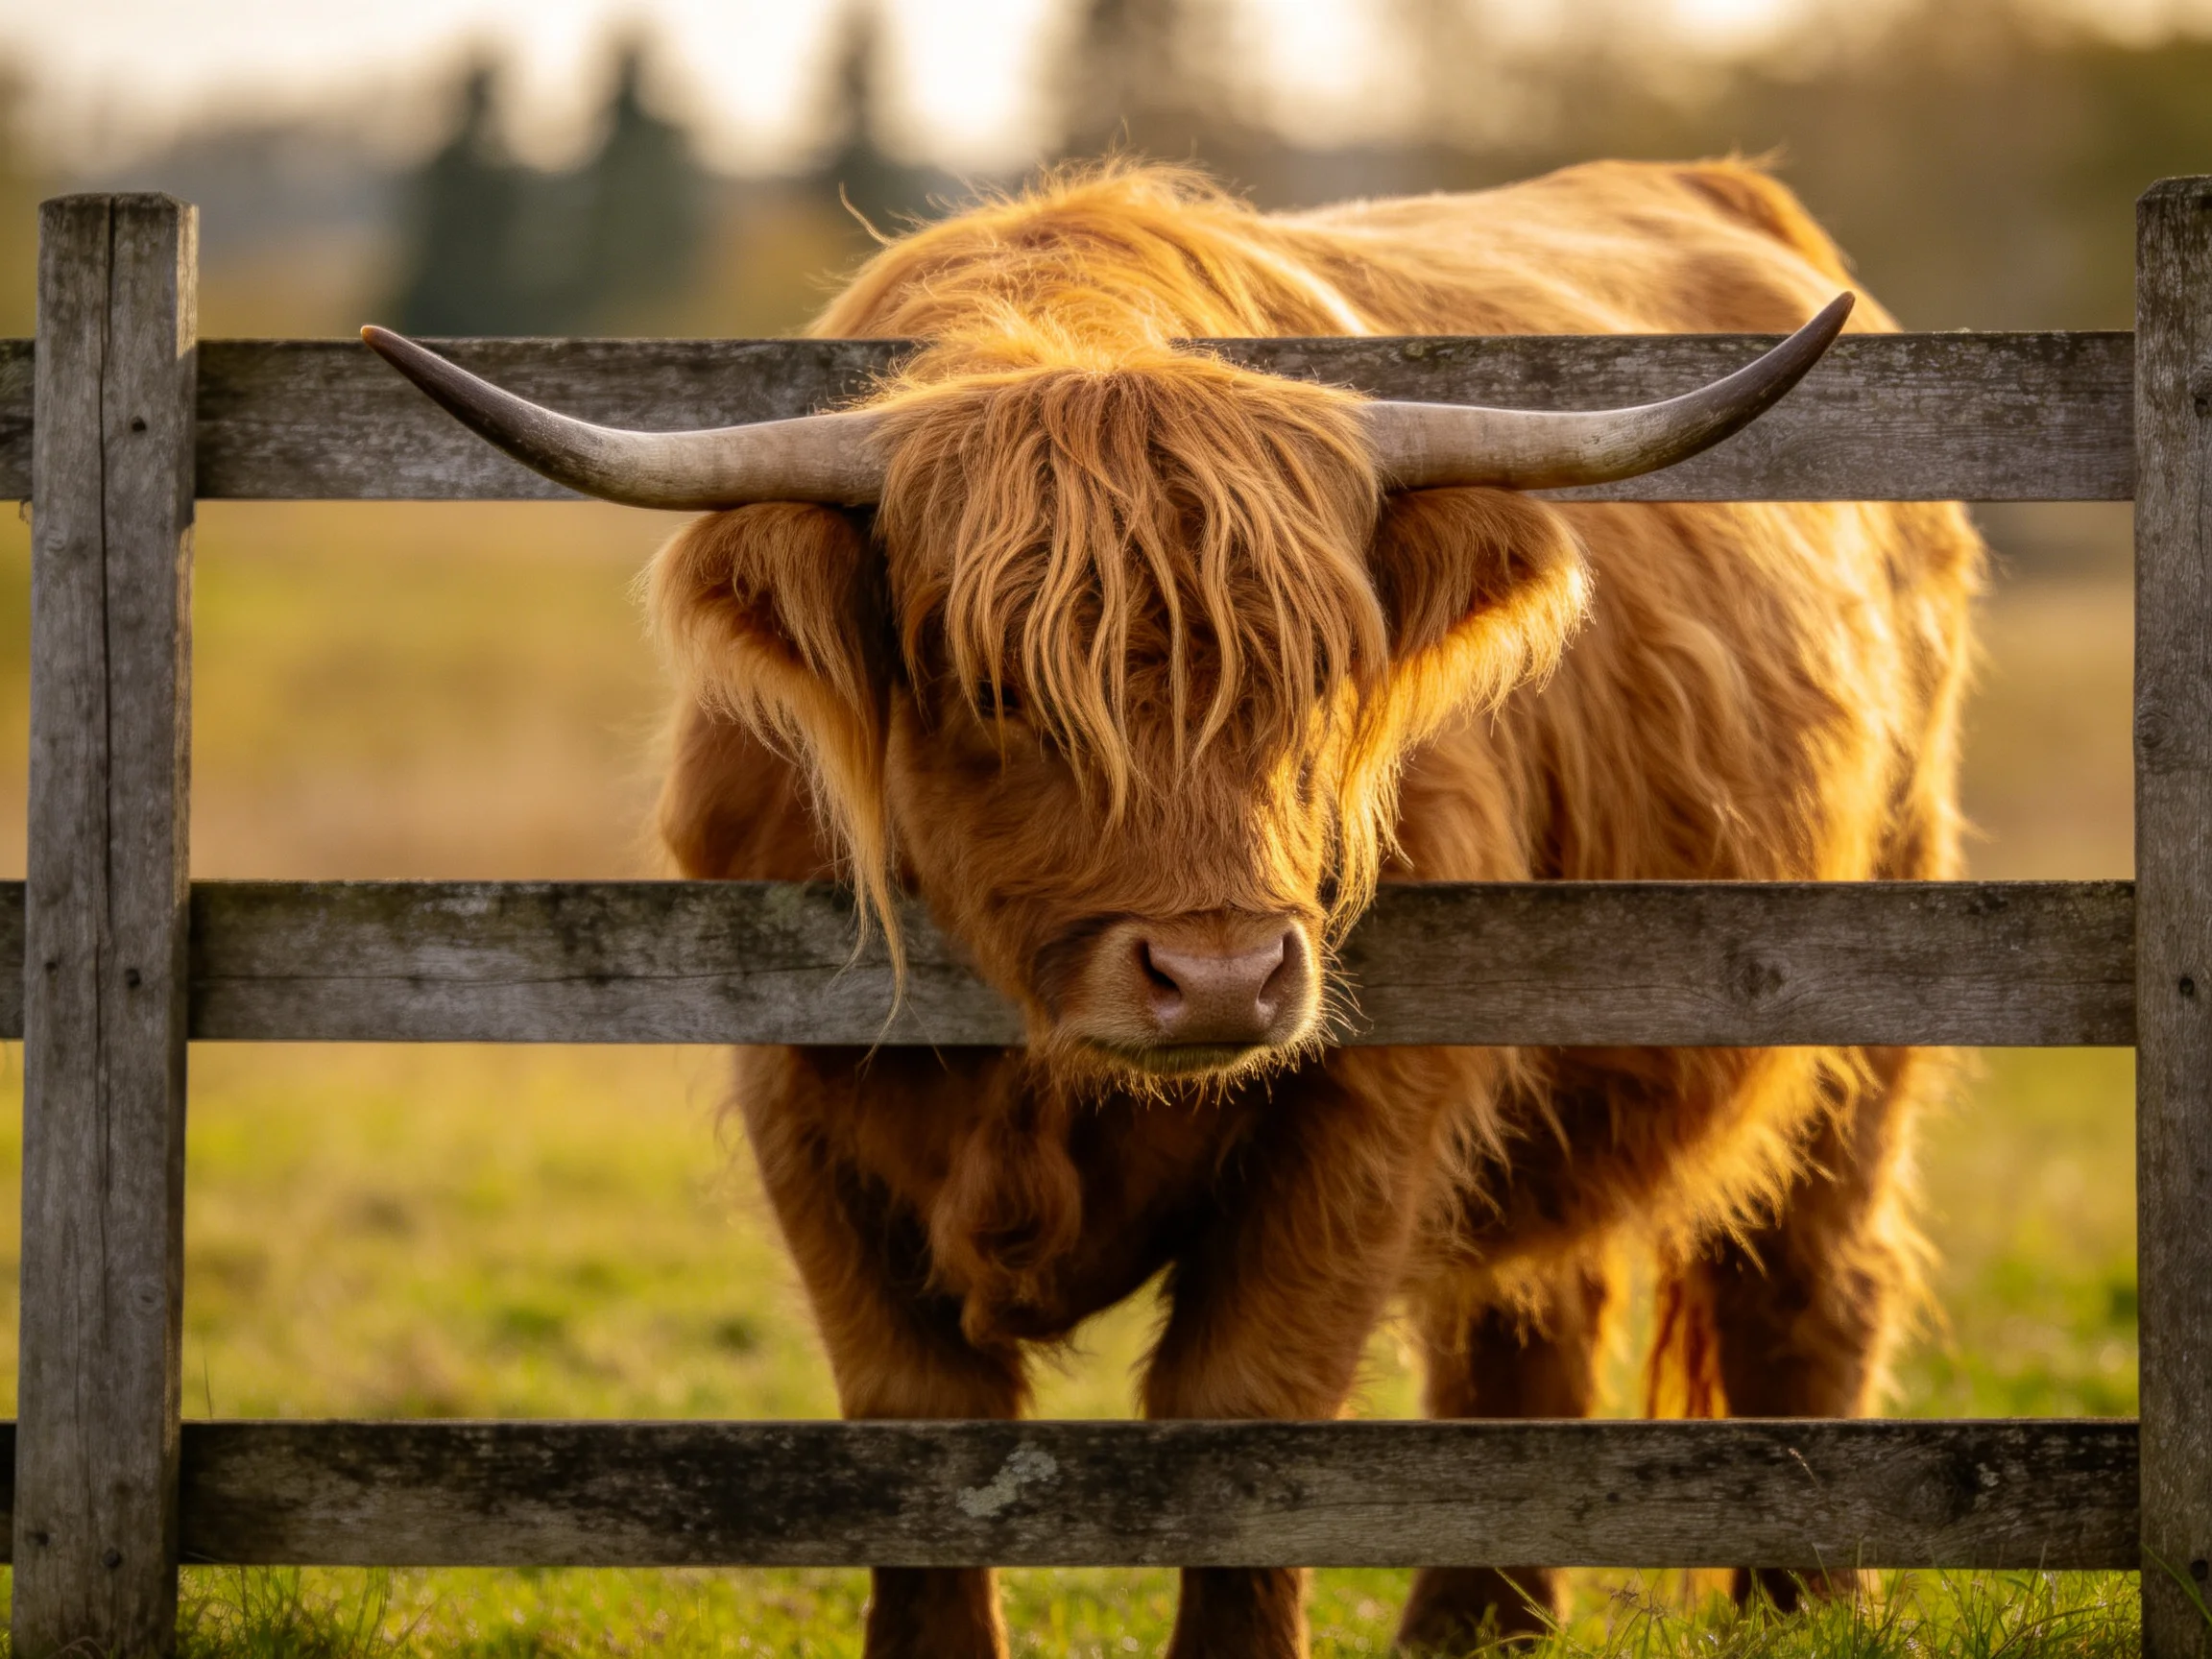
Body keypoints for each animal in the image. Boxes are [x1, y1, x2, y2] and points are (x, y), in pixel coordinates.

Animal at [363, 159, 1982, 1659]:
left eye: (1321, 674)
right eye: (991, 684)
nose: (1218, 979)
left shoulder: (1372, 1101)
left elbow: (1244, 1407)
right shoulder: (802, 1094)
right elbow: (915, 1422)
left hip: (1864, 985)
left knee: (1807, 1286)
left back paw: (1804, 1607)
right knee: (1530, 1315)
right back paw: (1474, 1628)